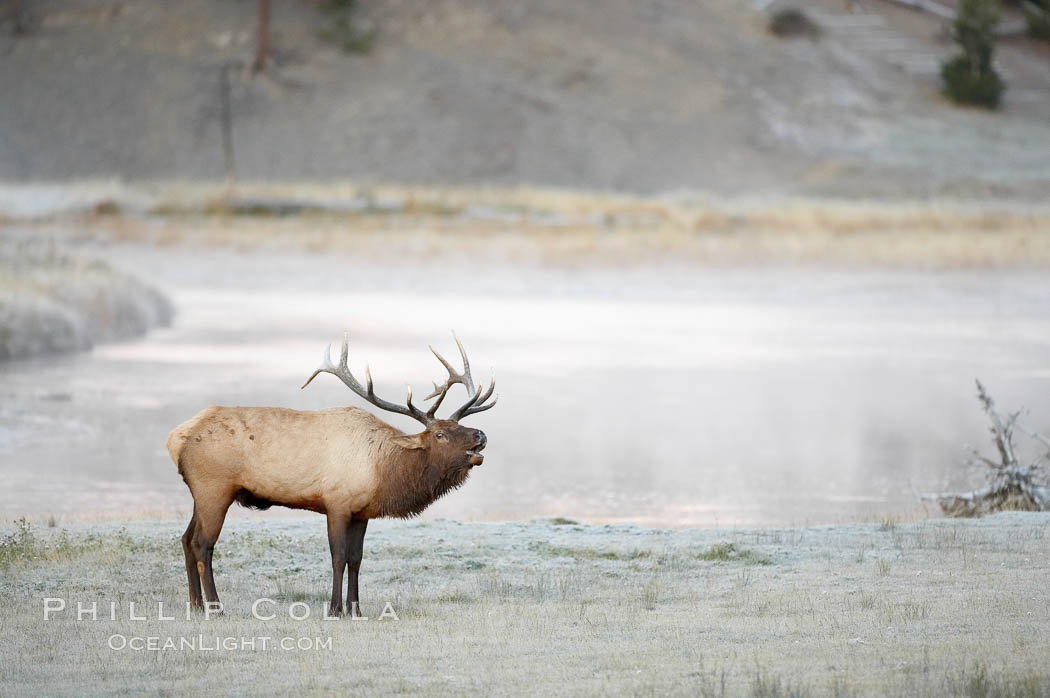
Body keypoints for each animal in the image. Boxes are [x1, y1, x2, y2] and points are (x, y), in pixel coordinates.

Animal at [166, 331, 495, 617]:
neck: (383, 470)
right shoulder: (336, 503)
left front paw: (356, 609)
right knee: (203, 544)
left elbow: (356, 559)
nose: (480, 434)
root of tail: (176, 437)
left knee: (185, 539)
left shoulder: (362, 512)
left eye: (459, 426)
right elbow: (338, 557)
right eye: (440, 434)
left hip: (201, 493)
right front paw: (336, 609)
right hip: (214, 487)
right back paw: (215, 608)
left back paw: (195, 605)